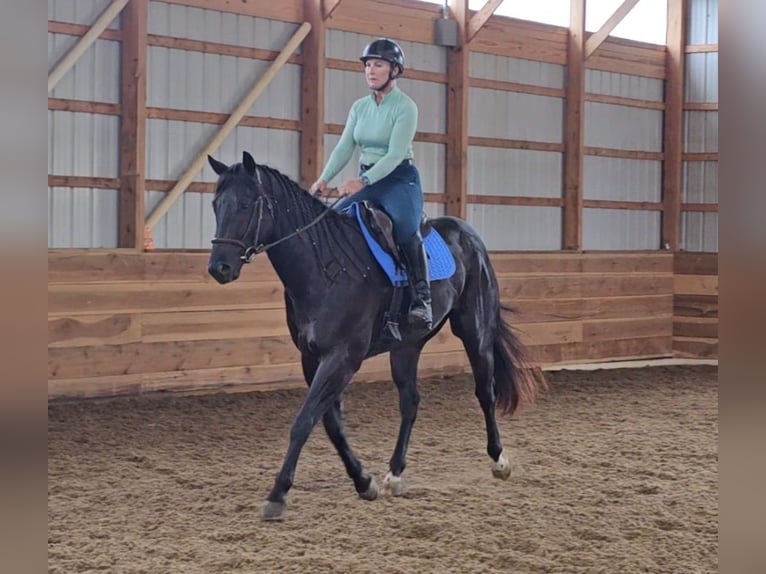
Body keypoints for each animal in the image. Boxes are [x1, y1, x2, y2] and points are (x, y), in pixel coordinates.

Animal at [207, 152, 548, 520]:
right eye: (216, 205)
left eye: (245, 204)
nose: (218, 268)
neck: (324, 266)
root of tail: (467, 233)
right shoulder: (312, 358)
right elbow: (331, 424)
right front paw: (363, 481)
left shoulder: (342, 358)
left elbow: (304, 421)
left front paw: (277, 494)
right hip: (406, 347)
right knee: (410, 402)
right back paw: (395, 474)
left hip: (475, 330)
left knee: (485, 391)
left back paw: (499, 460)